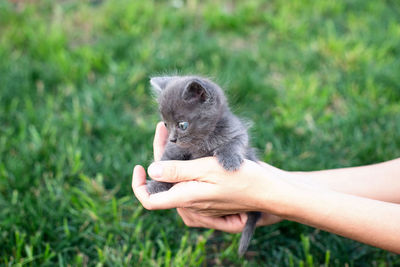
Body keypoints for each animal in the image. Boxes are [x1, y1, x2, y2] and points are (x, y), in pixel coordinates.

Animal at [147, 75, 262, 258]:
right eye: (165, 124)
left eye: (182, 125)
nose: (172, 138)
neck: (201, 141)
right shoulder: (174, 149)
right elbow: (167, 159)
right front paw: (157, 184)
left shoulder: (236, 132)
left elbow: (234, 143)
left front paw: (230, 160)